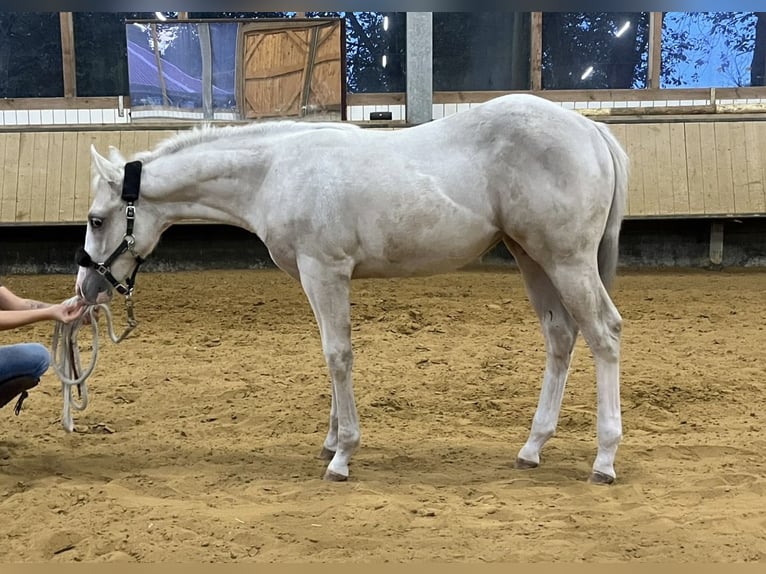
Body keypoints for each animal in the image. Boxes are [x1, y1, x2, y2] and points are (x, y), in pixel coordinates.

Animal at [75, 94, 628, 484]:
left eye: (97, 219)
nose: (86, 288)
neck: (275, 171)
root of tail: (588, 127)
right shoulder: (315, 277)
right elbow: (329, 353)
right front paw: (331, 439)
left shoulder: (325, 271)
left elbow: (338, 355)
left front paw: (342, 455)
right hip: (532, 259)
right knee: (561, 338)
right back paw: (532, 448)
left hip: (567, 261)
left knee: (605, 335)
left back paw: (604, 458)